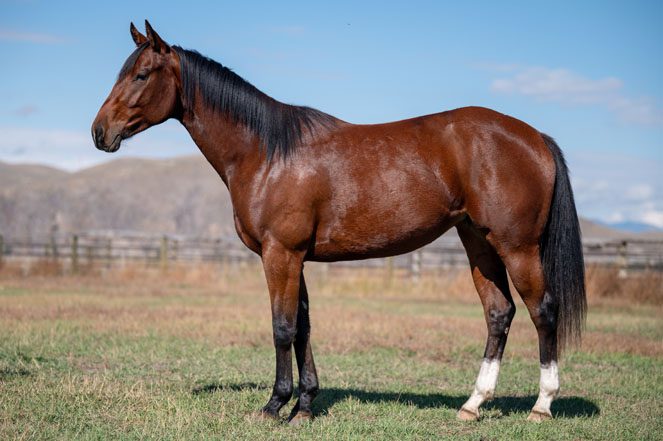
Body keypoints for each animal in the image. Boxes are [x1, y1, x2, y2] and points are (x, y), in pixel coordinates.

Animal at [92, 21, 586, 425]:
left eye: (140, 75)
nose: (99, 132)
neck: (268, 152)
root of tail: (535, 137)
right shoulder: (296, 258)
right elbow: (303, 327)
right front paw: (305, 405)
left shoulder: (280, 254)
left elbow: (282, 327)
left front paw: (275, 405)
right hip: (478, 243)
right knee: (499, 314)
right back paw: (472, 405)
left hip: (517, 247)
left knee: (543, 311)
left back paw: (542, 405)